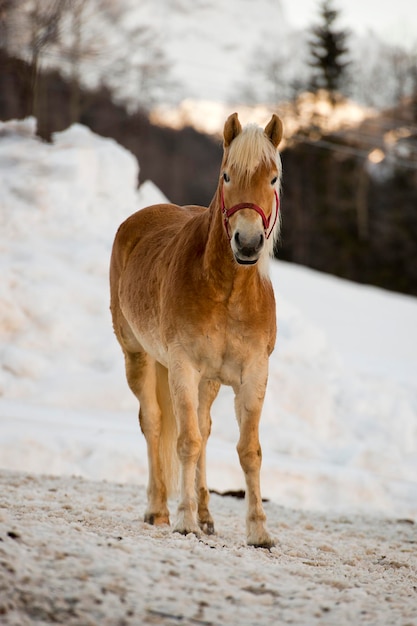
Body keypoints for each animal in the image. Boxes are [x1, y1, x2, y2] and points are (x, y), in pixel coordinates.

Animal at [109, 112, 282, 544]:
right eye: (226, 175)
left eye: (273, 178)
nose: (248, 243)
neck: (228, 292)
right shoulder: (183, 368)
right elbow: (185, 441)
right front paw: (184, 519)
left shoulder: (253, 375)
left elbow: (248, 450)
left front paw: (258, 531)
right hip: (138, 356)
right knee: (154, 424)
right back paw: (158, 510)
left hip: (211, 381)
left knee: (203, 427)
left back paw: (206, 515)